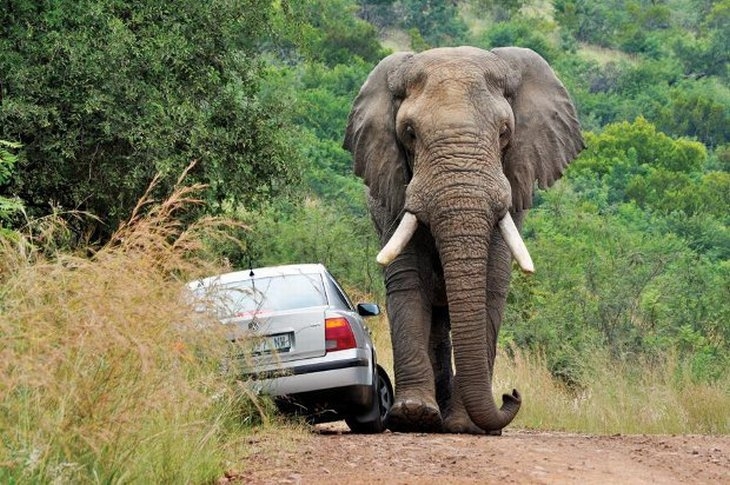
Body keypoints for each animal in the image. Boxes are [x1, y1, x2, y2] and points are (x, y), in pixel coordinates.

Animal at [342, 45, 584, 432]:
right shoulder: (392, 192)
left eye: (505, 132)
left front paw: (465, 426)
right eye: (409, 133)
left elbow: (490, 285)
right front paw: (413, 414)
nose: (511, 395)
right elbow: (408, 280)